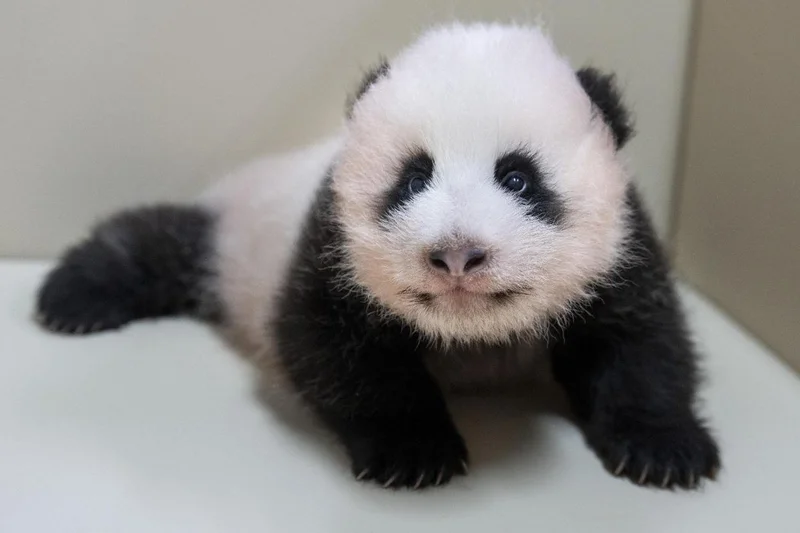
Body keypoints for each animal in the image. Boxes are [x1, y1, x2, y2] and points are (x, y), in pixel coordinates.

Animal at [35, 22, 721, 491]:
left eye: (518, 177)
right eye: (413, 177)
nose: (457, 256)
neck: (473, 336)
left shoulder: (621, 245)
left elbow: (641, 339)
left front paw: (665, 449)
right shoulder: (328, 241)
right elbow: (332, 346)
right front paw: (414, 450)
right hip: (229, 238)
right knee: (154, 240)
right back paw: (71, 295)